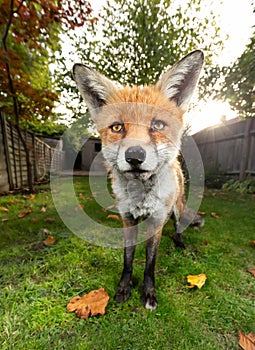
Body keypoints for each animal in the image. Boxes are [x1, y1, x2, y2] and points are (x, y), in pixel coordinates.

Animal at [72, 50, 204, 310]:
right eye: (117, 127)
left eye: (157, 125)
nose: (134, 156)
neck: (141, 197)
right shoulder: (127, 218)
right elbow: (128, 259)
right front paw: (124, 287)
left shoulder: (157, 220)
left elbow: (150, 264)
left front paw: (148, 293)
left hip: (176, 207)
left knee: (178, 225)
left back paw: (180, 242)